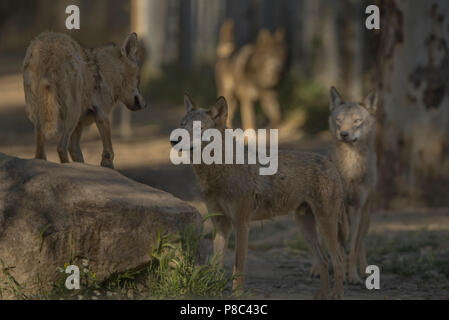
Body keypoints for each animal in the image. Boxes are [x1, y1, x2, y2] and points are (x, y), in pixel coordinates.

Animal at [22, 31, 146, 169]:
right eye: (139, 78)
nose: (144, 104)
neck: (104, 71)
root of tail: (48, 48)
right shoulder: (102, 116)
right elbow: (109, 153)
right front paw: (107, 165)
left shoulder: (79, 125)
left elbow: (76, 153)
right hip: (72, 115)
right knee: (60, 147)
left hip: (41, 118)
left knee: (40, 154)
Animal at [170, 94, 348, 298]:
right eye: (182, 124)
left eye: (198, 128)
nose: (173, 140)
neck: (219, 172)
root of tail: (331, 163)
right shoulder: (221, 225)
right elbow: (216, 263)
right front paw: (213, 289)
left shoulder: (242, 225)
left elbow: (238, 266)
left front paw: (236, 294)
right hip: (305, 227)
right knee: (324, 261)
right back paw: (323, 295)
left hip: (326, 224)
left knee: (339, 260)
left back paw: (337, 295)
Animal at [326, 86, 378, 284]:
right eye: (339, 121)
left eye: (357, 121)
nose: (344, 134)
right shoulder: (338, 207)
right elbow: (340, 244)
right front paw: (340, 272)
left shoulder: (357, 208)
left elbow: (354, 246)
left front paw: (353, 276)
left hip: (366, 217)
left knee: (360, 242)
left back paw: (364, 270)